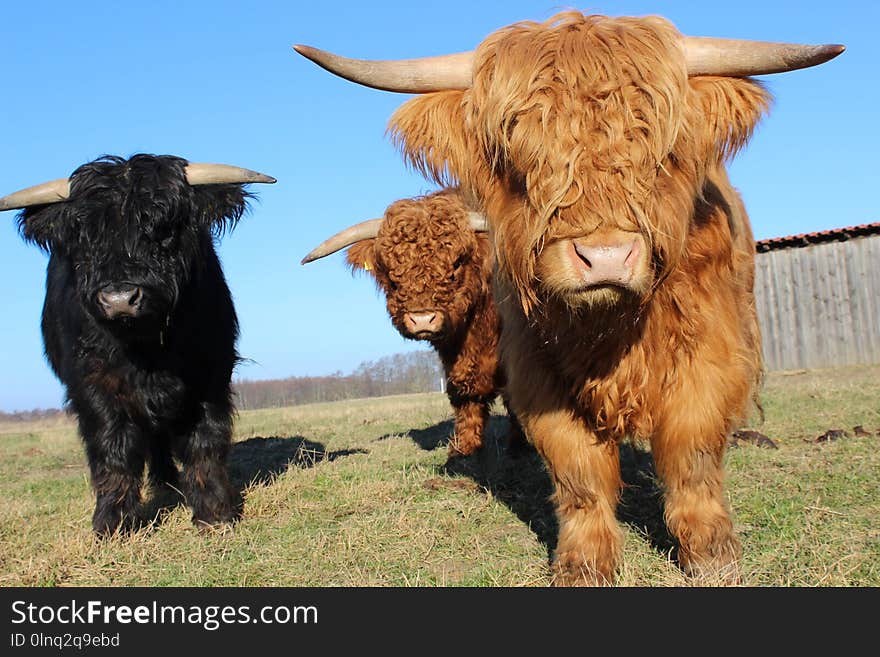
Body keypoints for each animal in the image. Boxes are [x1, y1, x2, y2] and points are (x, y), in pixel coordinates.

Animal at [0, 156, 274, 536]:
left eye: (163, 229)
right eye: (87, 237)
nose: (119, 299)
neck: (147, 349)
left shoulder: (211, 373)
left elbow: (205, 439)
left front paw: (215, 512)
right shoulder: (93, 384)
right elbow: (113, 446)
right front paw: (114, 521)